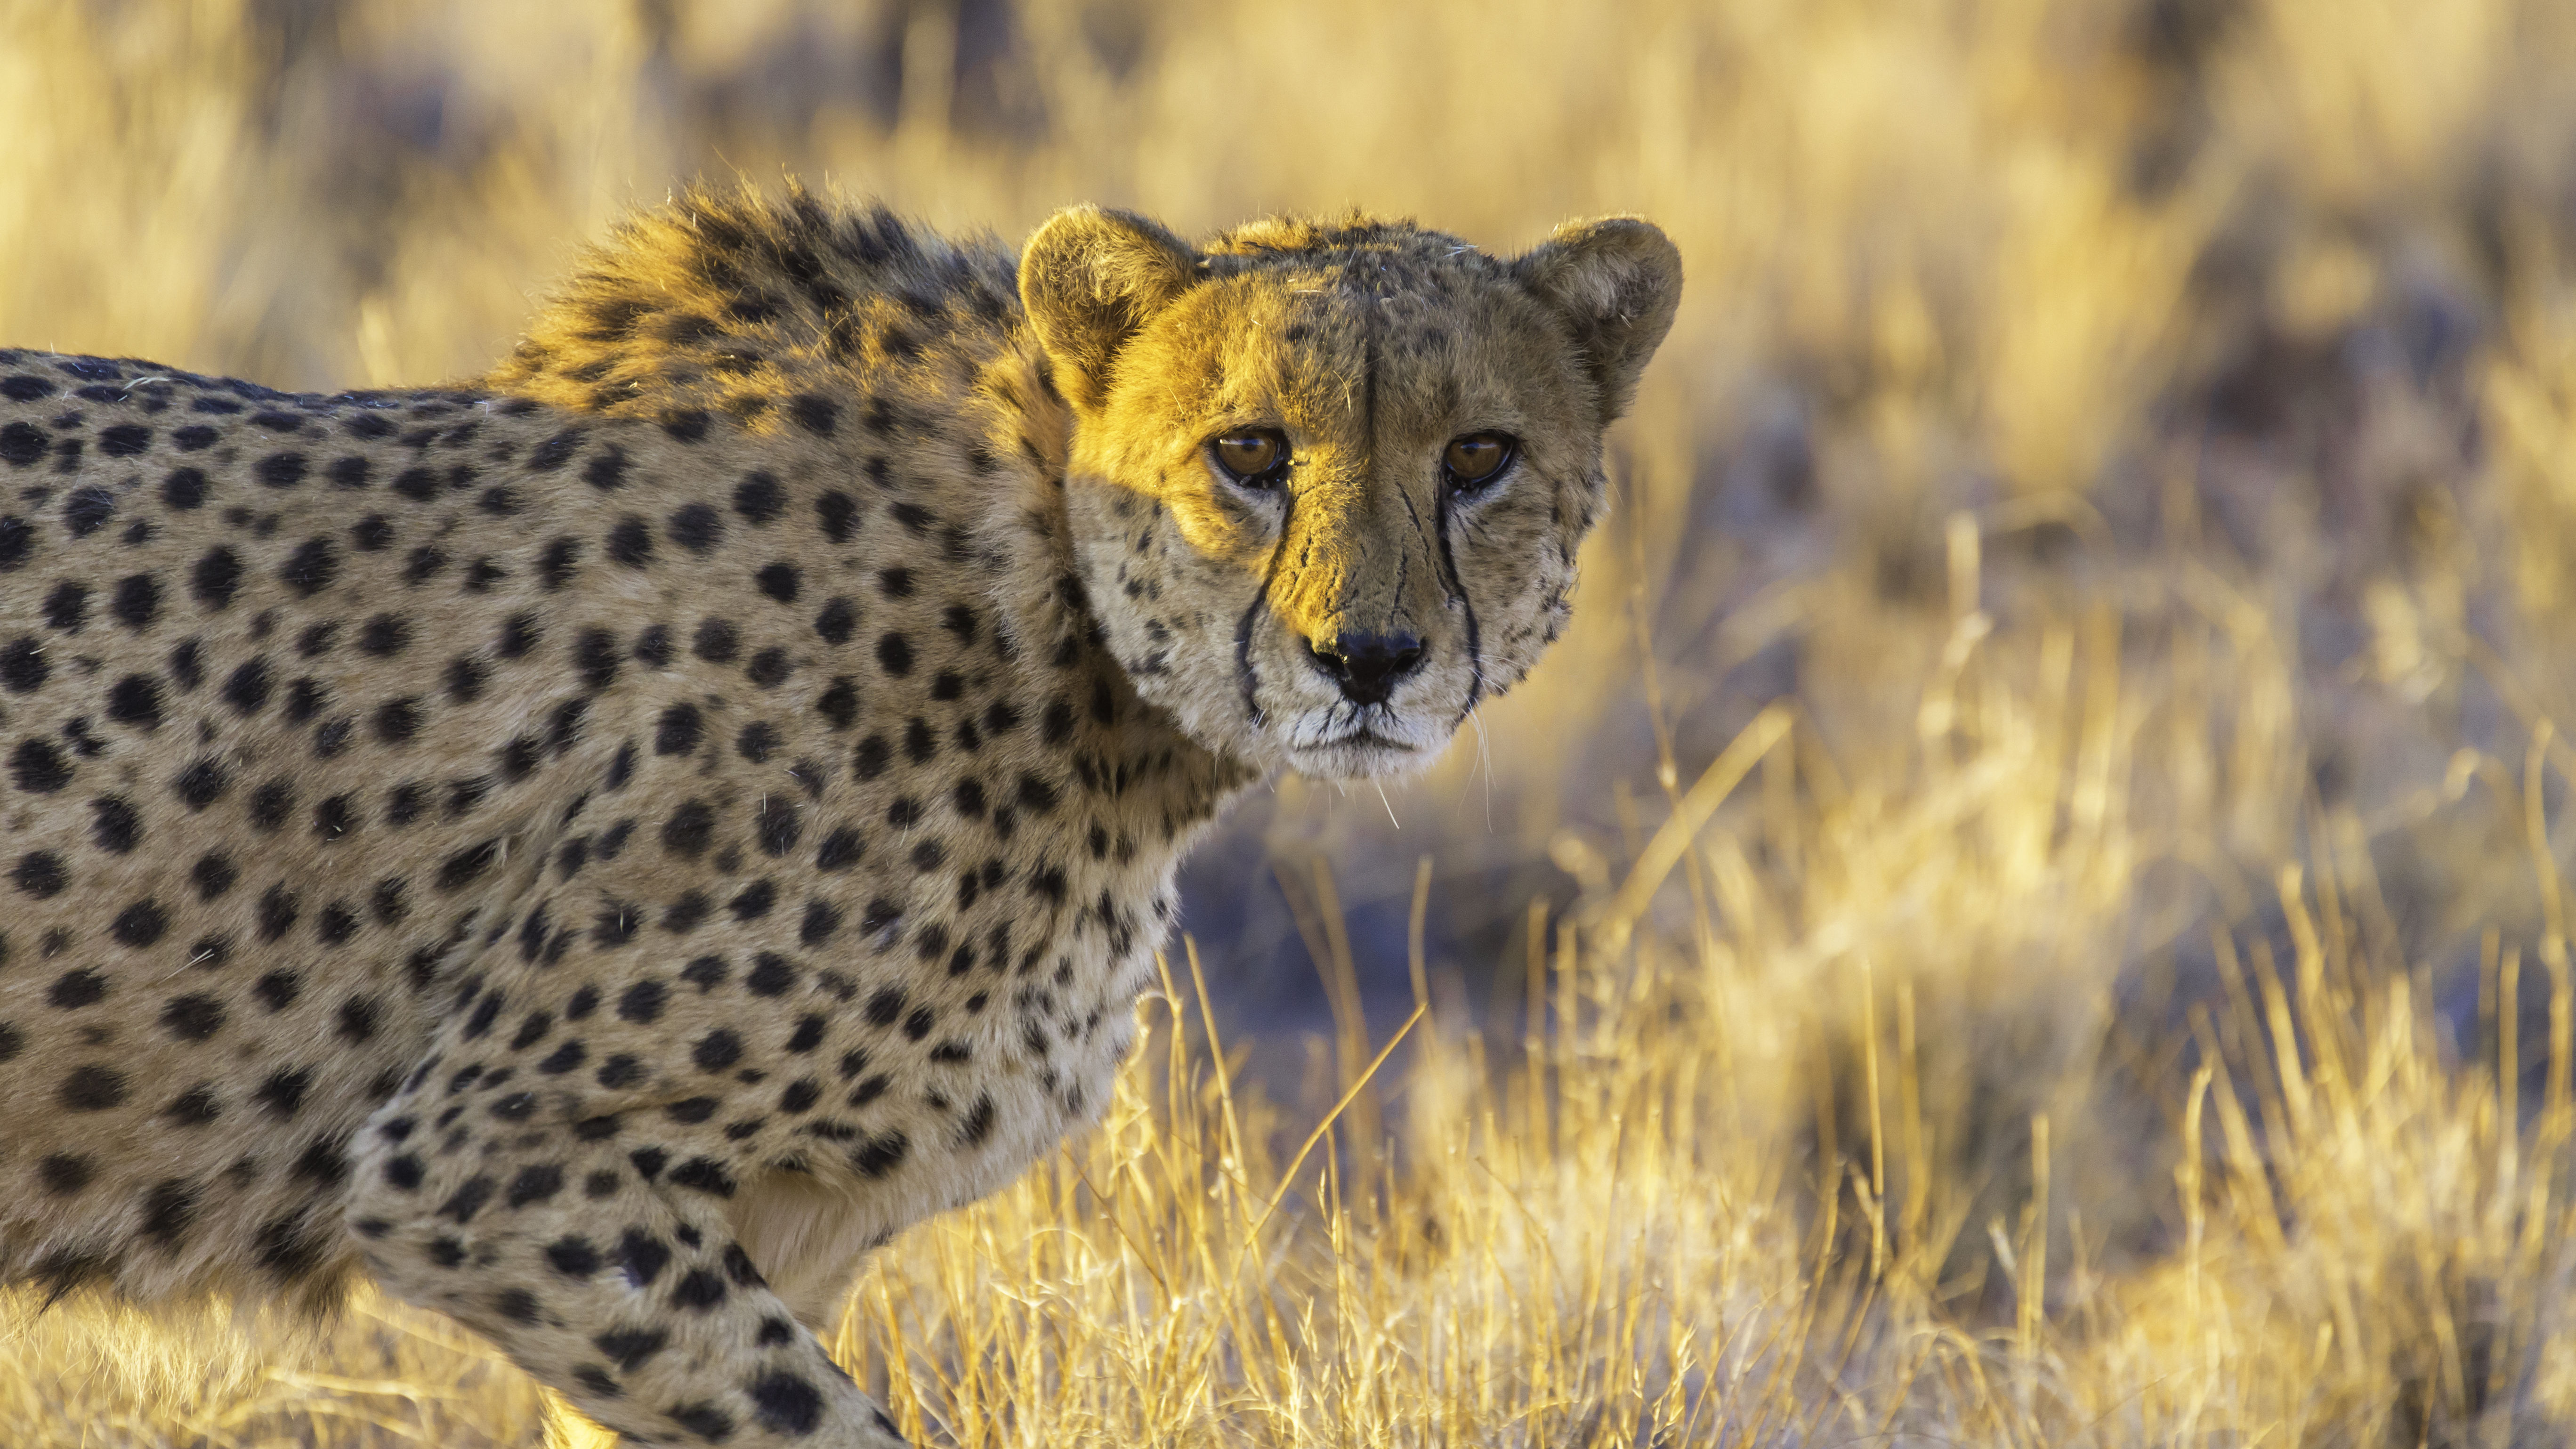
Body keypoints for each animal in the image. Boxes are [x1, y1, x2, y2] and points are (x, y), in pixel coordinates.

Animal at [0, 185, 1680, 1446]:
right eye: (1249, 451)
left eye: (1478, 456)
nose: (1369, 656)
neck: (1048, 605)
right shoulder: (487, 1160)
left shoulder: (740, 1232)